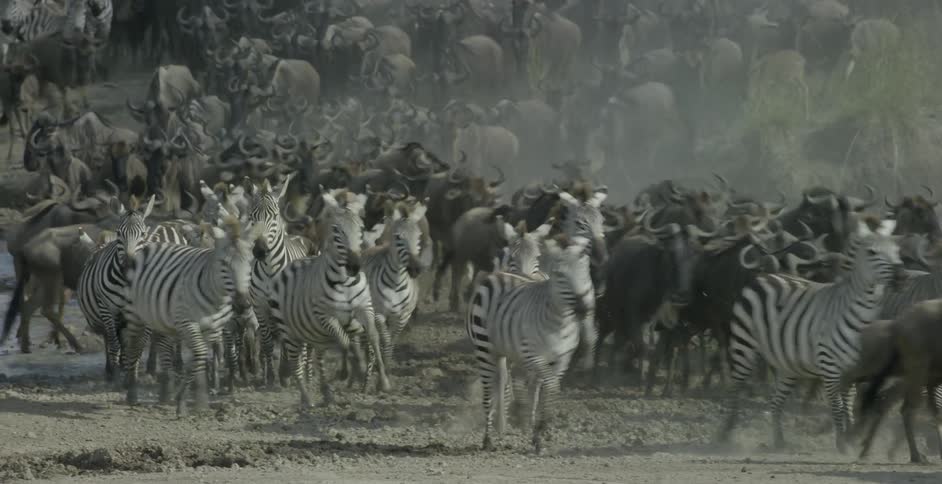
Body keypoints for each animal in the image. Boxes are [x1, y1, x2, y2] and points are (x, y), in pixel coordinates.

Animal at [119, 217, 263, 416]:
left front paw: (199, 401)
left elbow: (201, 358)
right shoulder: (188, 323)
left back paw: (166, 391)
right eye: (224, 264)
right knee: (135, 346)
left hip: (164, 317)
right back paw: (132, 393)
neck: (216, 297)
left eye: (250, 263)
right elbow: (201, 354)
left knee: (163, 345)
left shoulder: (213, 328)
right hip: (136, 315)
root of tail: (154, 243)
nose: (243, 305)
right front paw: (185, 400)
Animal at [268, 189, 388, 408]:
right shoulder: (326, 317)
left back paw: (327, 393)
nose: (354, 266)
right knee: (295, 362)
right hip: (289, 331)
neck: (344, 282)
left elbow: (372, 337)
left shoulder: (364, 308)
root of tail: (292, 263)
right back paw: (307, 399)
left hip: (314, 333)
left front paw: (382, 381)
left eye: (360, 229)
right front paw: (350, 371)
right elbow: (345, 343)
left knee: (319, 357)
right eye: (336, 230)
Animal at [467, 235, 598, 453]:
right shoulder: (533, 355)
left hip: (506, 351)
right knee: (489, 391)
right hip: (484, 347)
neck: (559, 322)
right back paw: (488, 439)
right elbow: (551, 386)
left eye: (586, 271)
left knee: (516, 383)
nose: (583, 308)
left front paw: (539, 433)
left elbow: (548, 391)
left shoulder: (562, 360)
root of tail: (500, 273)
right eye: (560, 275)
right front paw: (541, 427)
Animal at [717, 219, 903, 452]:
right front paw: (842, 444)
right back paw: (726, 435)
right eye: (872, 252)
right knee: (736, 387)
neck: (862, 318)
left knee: (775, 402)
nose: (902, 276)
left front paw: (849, 438)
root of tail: (764, 276)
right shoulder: (830, 365)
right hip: (744, 344)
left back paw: (779, 441)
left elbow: (849, 403)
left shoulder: (855, 368)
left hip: (788, 364)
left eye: (897, 251)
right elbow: (837, 405)